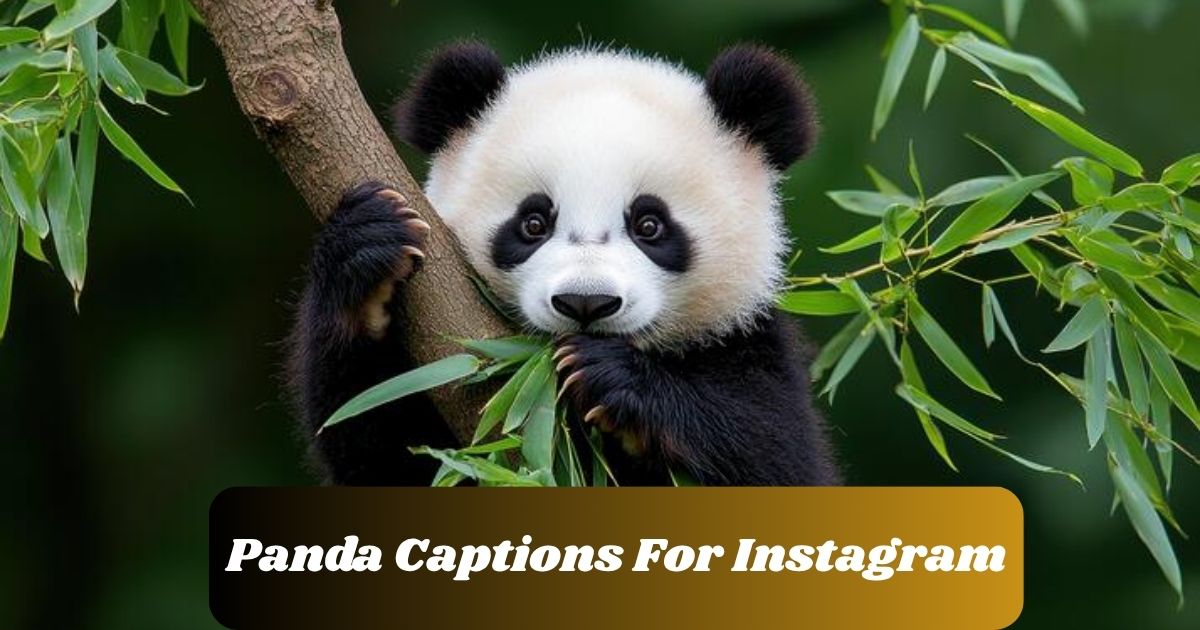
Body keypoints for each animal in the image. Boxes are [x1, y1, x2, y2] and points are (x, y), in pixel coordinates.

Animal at [288, 42, 840, 486]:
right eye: (533, 223)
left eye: (650, 225)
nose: (586, 302)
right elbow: (386, 449)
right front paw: (366, 249)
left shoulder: (745, 339)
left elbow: (775, 452)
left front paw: (616, 380)